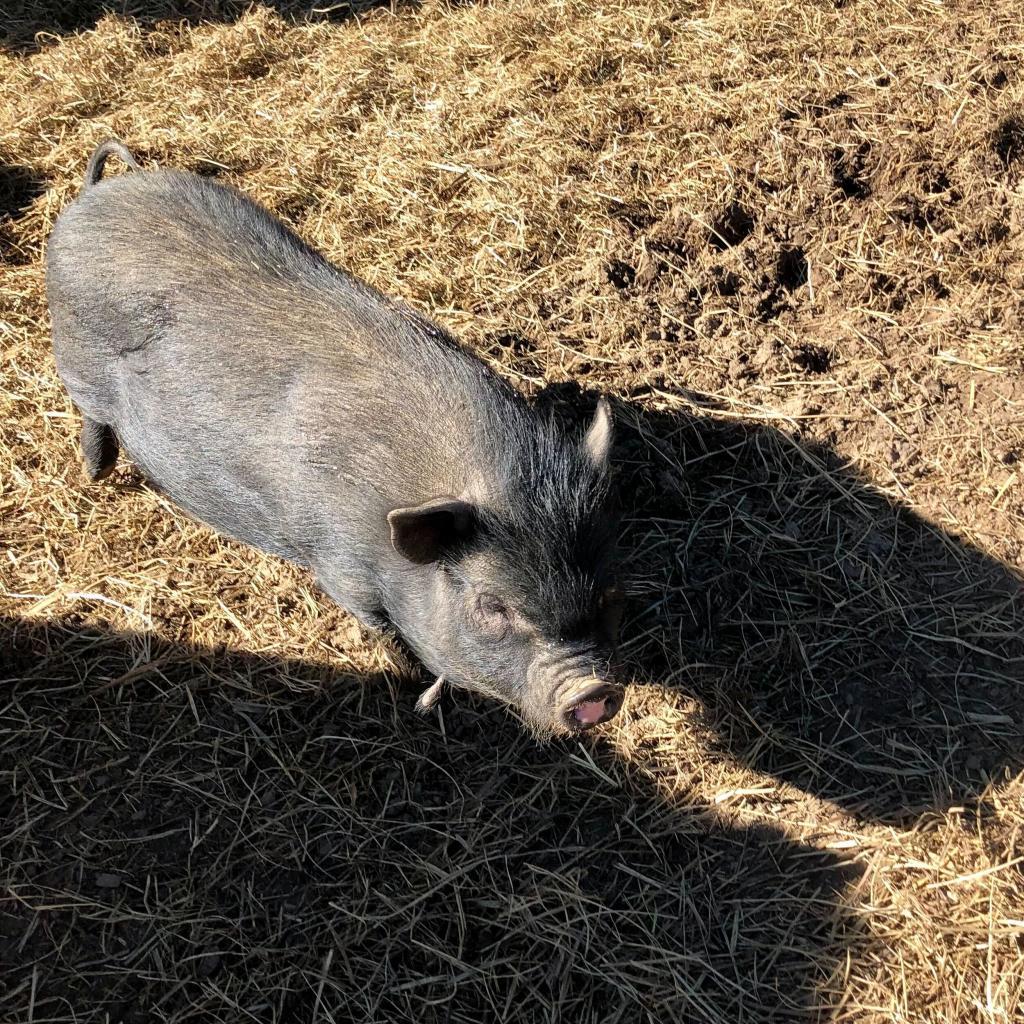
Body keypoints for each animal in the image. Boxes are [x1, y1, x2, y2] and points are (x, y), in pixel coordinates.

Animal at [46, 139, 625, 733]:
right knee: (92, 419)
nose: (595, 691)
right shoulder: (339, 567)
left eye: (608, 590)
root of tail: (93, 200)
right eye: (493, 606)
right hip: (78, 367)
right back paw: (95, 473)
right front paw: (412, 685)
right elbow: (380, 627)